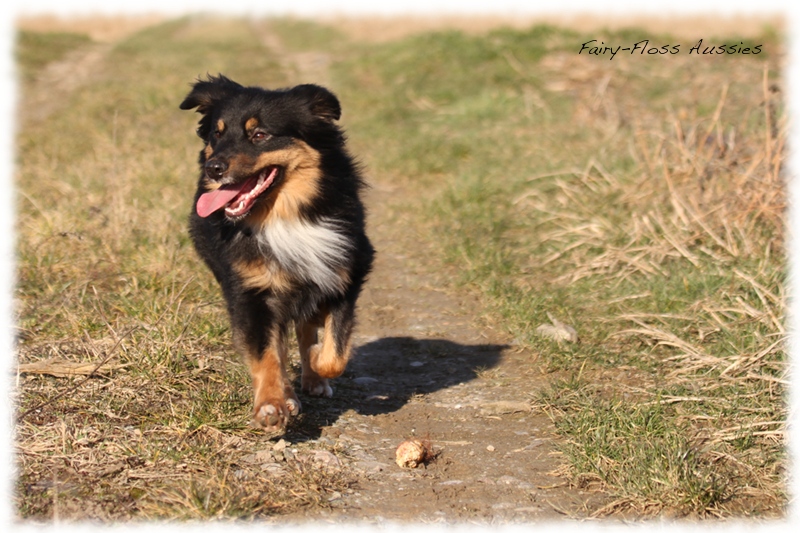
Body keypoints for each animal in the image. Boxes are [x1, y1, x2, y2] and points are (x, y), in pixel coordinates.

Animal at [180, 75, 374, 432]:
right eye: (217, 133)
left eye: (259, 135)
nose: (213, 168)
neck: (285, 215)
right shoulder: (251, 292)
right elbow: (266, 355)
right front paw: (271, 404)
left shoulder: (344, 274)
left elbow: (335, 351)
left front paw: (316, 363)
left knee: (306, 329)